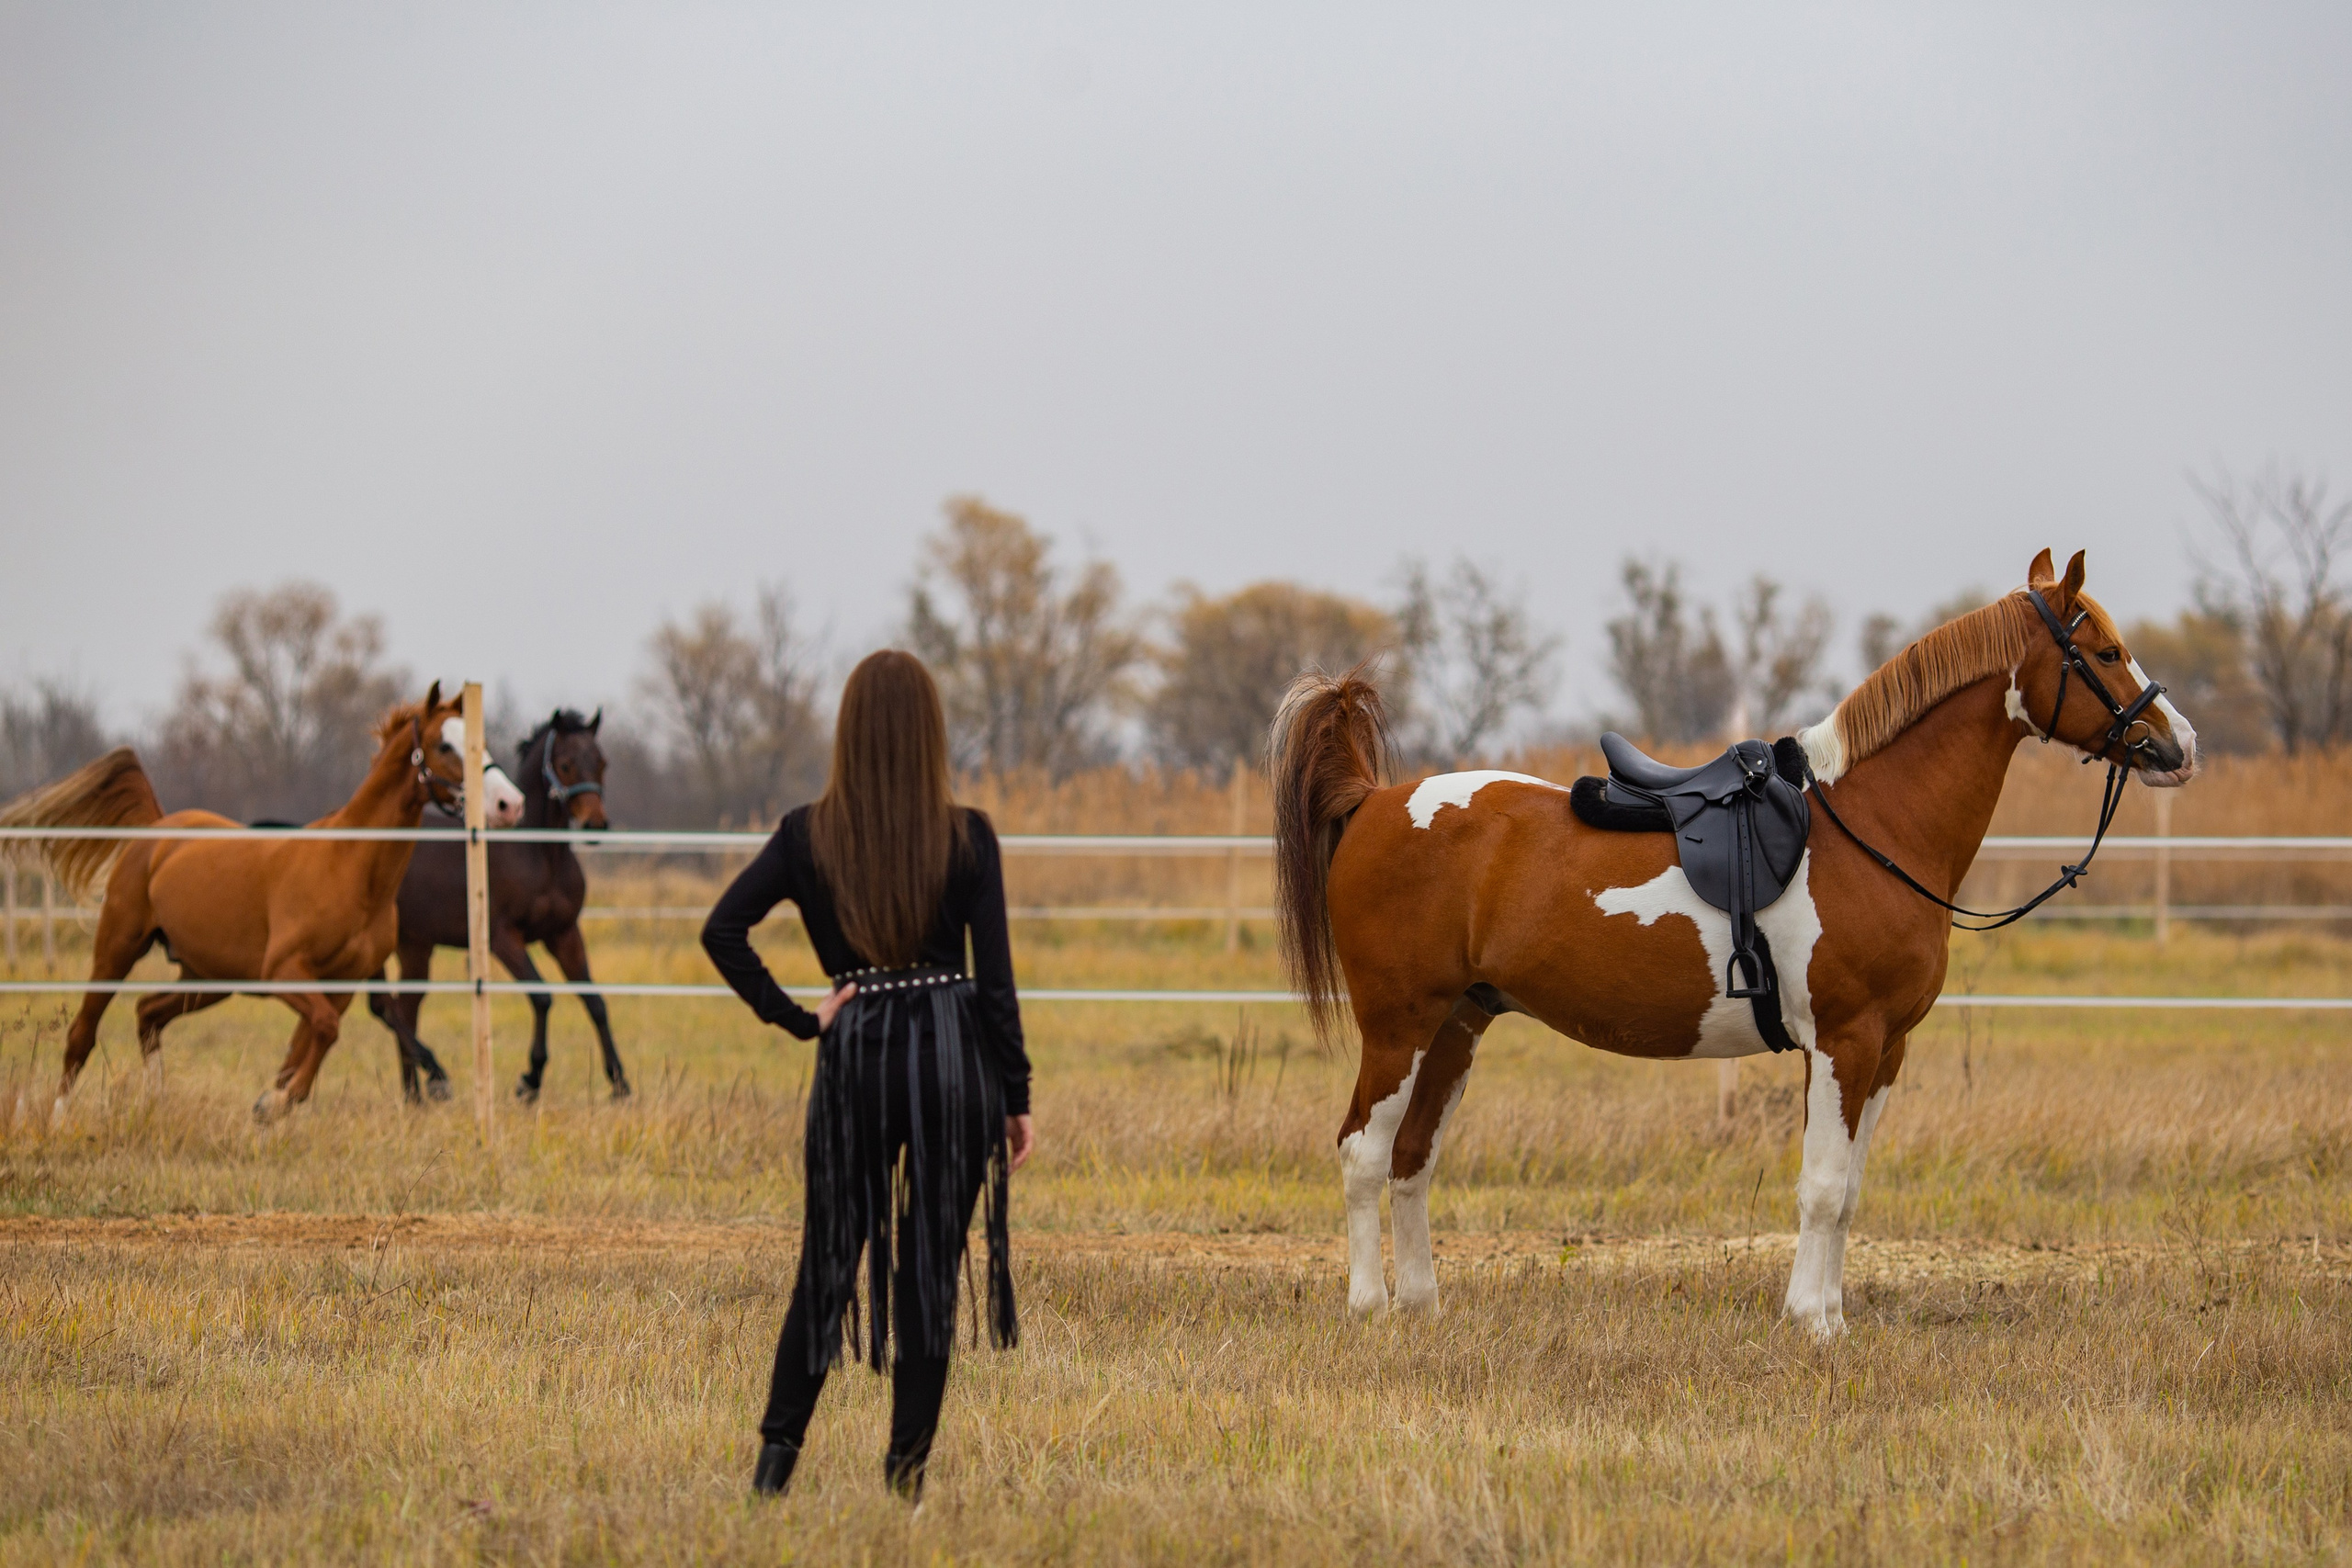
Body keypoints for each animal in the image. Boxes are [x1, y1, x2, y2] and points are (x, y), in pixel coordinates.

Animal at [0, 685, 471, 1123]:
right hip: (118, 949)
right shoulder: (284, 972)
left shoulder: (340, 985)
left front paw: (270, 1104)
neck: (351, 868)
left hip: (207, 977)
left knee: (148, 1013)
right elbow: (323, 1030)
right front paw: (274, 1103)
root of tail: (156, 829)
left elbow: (306, 1047)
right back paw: (59, 1118)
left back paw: (156, 1104)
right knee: (83, 1032)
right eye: (443, 744)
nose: (484, 801)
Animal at [367, 709, 631, 1104]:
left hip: (415, 946)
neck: (540, 856)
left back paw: (415, 1095)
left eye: (601, 762)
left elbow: (595, 1001)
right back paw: (434, 1078)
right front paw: (530, 1080)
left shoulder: (564, 934)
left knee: (404, 1008)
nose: (595, 824)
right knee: (384, 1006)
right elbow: (542, 997)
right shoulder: (503, 938)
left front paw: (619, 1082)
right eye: (565, 764)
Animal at [1268, 550, 2197, 1338]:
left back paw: (1422, 1305)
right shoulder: (1845, 1040)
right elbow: (1822, 1188)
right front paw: (1812, 1323)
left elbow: (1849, 1190)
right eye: (2106, 651)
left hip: (1457, 1026)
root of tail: (1375, 800)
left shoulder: (1886, 1051)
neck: (1873, 827)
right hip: (1399, 1027)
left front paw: (1829, 1317)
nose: (2180, 745)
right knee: (1362, 1152)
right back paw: (1370, 1307)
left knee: (1412, 1157)